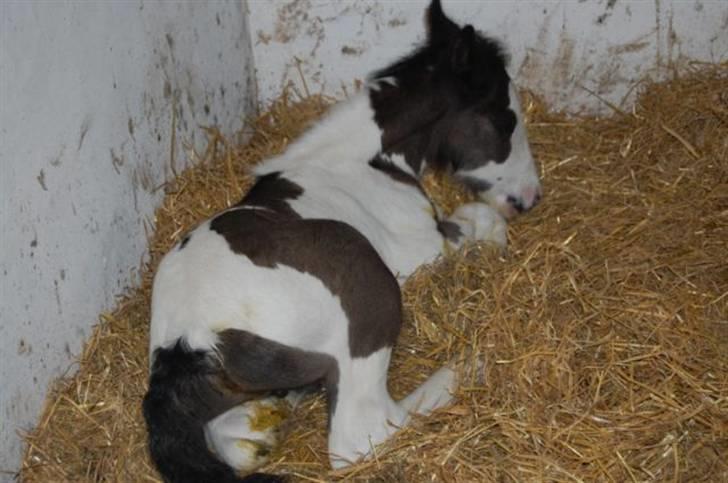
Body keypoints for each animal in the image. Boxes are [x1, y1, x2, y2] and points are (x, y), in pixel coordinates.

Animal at [144, 1, 540, 482]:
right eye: (504, 120)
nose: (529, 197)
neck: (361, 163)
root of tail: (190, 343)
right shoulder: (420, 252)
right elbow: (483, 224)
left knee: (231, 439)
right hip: (370, 290)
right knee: (363, 433)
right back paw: (469, 366)